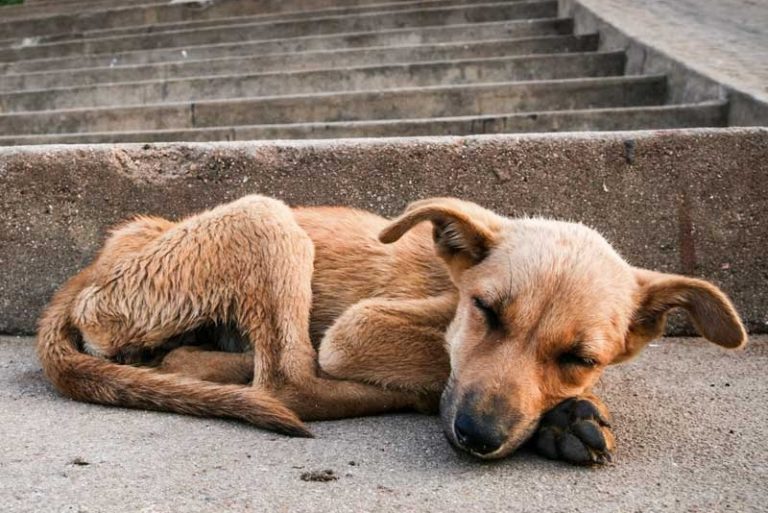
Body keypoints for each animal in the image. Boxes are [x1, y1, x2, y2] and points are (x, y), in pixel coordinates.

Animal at [36, 196, 744, 464]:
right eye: (487, 311)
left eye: (580, 356)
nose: (478, 436)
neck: (450, 285)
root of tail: (97, 264)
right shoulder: (357, 328)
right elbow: (437, 365)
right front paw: (559, 418)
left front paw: (565, 412)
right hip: (265, 217)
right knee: (290, 381)